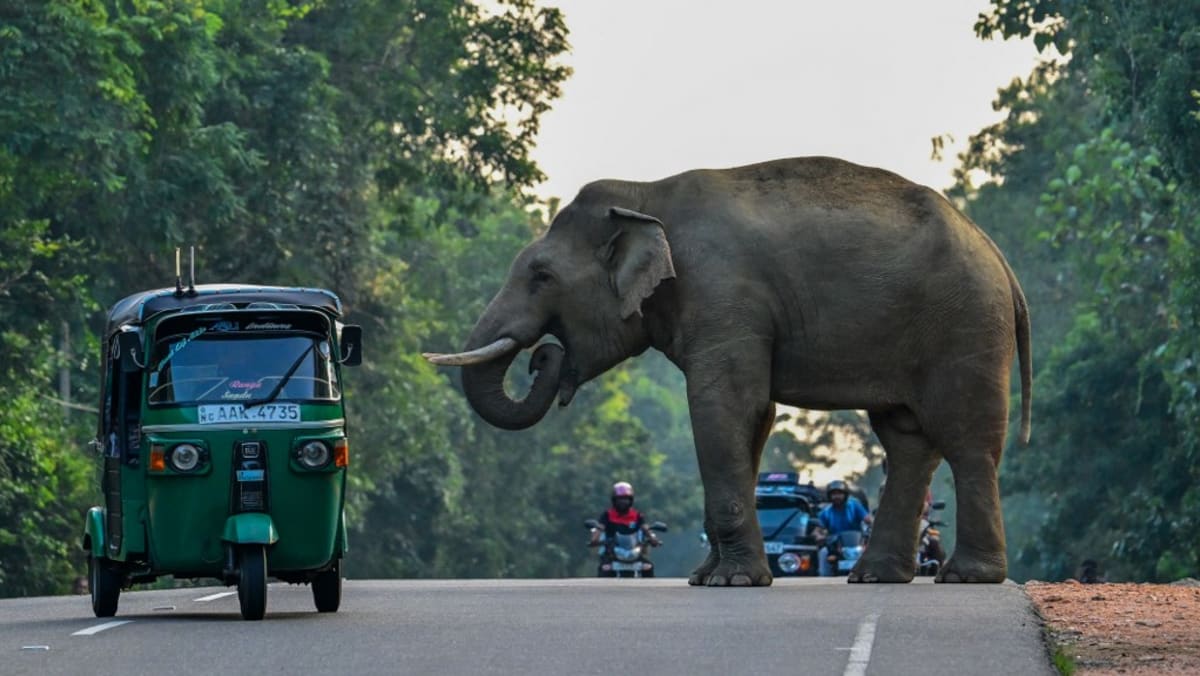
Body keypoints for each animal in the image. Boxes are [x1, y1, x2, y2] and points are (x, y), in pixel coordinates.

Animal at [424, 158, 1032, 588]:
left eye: (542, 275)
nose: (541, 357)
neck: (644, 195)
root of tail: (998, 255)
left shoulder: (723, 294)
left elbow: (724, 406)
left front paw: (733, 582)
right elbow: (751, 419)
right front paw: (705, 578)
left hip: (966, 325)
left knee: (966, 438)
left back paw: (967, 577)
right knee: (907, 440)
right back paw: (876, 577)